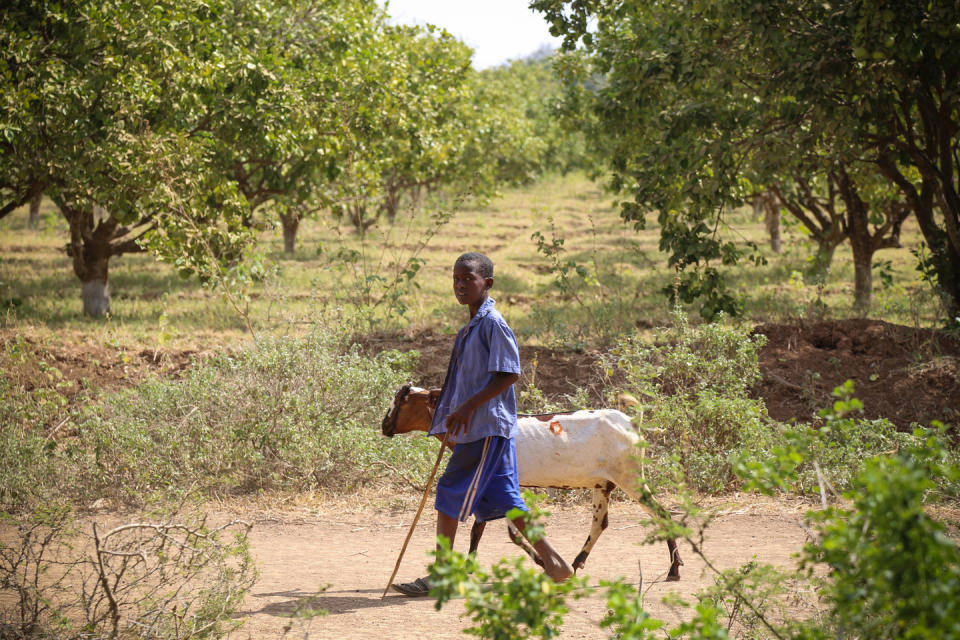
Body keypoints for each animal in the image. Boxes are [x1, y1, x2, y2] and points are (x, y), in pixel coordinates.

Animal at [378, 384, 680, 580]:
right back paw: (576, 563)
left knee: (663, 515)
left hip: (631, 477)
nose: (384, 425)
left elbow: (500, 531)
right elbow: (486, 529)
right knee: (600, 524)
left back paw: (674, 569)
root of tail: (632, 422)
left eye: (402, 399)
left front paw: (543, 564)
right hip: (603, 484)